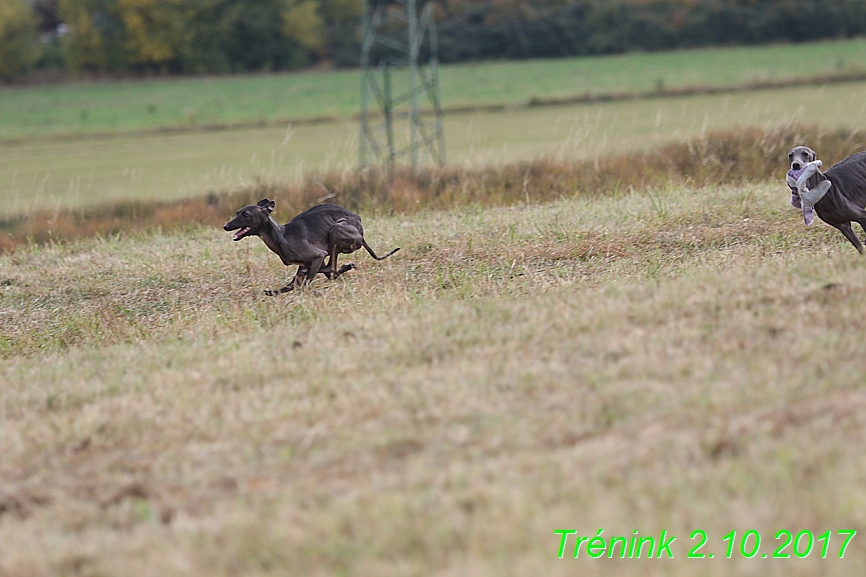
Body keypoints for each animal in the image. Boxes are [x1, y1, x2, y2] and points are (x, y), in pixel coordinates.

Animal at [223, 200, 398, 294]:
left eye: (246, 214)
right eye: (237, 212)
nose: (225, 226)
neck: (281, 235)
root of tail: (360, 229)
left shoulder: (318, 255)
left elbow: (305, 283)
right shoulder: (306, 263)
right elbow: (291, 285)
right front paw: (272, 292)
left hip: (336, 230)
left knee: (331, 269)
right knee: (329, 271)